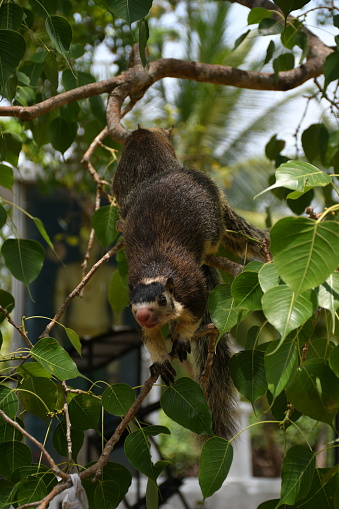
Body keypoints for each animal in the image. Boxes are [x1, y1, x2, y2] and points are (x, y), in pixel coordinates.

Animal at [113, 126, 270, 436]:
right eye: (134, 306)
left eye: (162, 299)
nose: (144, 314)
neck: (155, 268)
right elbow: (149, 337)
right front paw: (160, 360)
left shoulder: (193, 287)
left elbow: (195, 314)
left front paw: (183, 337)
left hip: (212, 224)